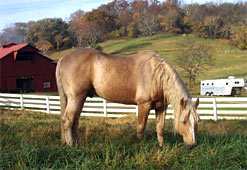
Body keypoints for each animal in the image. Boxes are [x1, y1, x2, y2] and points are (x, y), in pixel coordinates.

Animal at [56, 47, 201, 147]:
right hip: (76, 97)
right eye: (183, 121)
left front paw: (161, 146)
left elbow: (160, 128)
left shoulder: (161, 107)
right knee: (67, 120)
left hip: (80, 98)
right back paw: (71, 145)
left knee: (74, 121)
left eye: (197, 121)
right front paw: (140, 145)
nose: (192, 145)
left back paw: (76, 142)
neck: (156, 75)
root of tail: (63, 58)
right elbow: (141, 127)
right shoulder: (144, 105)